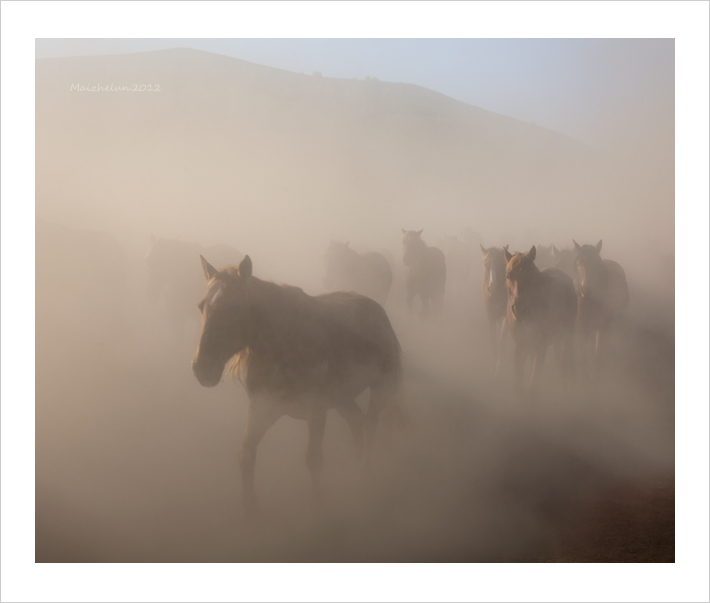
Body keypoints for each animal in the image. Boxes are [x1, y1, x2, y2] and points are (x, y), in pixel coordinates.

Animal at [192, 252, 404, 516]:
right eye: (201, 306)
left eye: (236, 307)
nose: (202, 369)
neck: (284, 345)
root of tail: (376, 309)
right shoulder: (261, 408)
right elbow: (245, 454)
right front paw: (250, 506)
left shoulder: (316, 411)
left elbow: (314, 460)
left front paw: (317, 503)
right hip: (342, 399)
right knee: (358, 423)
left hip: (380, 388)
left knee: (370, 426)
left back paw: (364, 473)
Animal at [506, 243, 580, 398]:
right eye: (508, 276)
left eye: (531, 275)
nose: (519, 309)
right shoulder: (520, 346)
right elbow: (518, 386)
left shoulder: (541, 347)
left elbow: (533, 388)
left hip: (566, 336)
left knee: (563, 364)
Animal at [576, 239, 632, 372]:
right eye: (578, 263)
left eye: (596, 264)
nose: (586, 290)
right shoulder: (582, 326)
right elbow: (583, 353)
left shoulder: (602, 326)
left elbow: (598, 353)